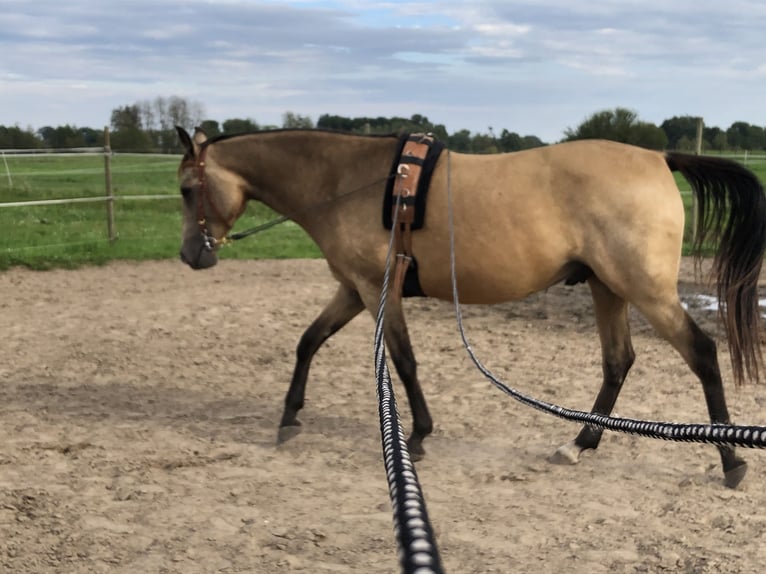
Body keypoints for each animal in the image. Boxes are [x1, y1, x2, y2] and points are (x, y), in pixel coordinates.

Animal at [176, 127, 766, 490]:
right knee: (618, 362)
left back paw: (731, 459)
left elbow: (403, 361)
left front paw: (417, 435)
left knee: (701, 353)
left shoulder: (377, 290)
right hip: (607, 288)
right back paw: (580, 443)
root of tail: (657, 158)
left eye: (186, 189)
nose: (191, 255)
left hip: (644, 290)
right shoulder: (353, 289)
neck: (349, 180)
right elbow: (309, 341)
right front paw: (289, 416)